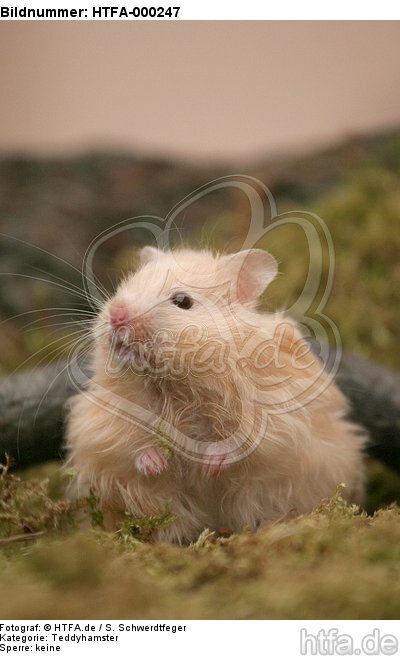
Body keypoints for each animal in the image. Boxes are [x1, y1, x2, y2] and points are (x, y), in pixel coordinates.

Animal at [65, 247, 365, 543]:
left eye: (182, 300)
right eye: (126, 284)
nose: (116, 315)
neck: (174, 385)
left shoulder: (280, 413)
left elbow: (251, 441)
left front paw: (210, 463)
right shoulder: (98, 419)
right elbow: (125, 443)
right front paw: (156, 465)